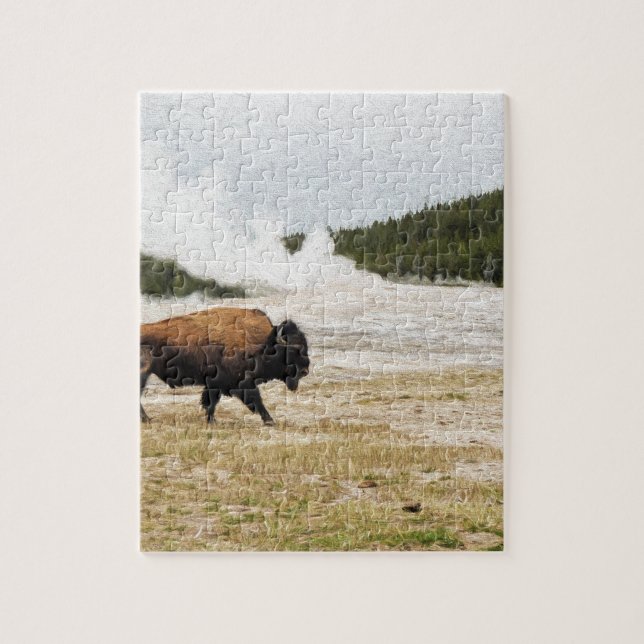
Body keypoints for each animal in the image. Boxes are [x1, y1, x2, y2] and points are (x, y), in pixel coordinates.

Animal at [140, 307, 309, 425]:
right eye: (293, 350)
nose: (305, 371)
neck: (264, 343)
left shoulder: (214, 384)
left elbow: (210, 402)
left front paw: (211, 421)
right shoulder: (242, 383)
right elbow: (256, 399)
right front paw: (269, 421)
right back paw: (147, 419)